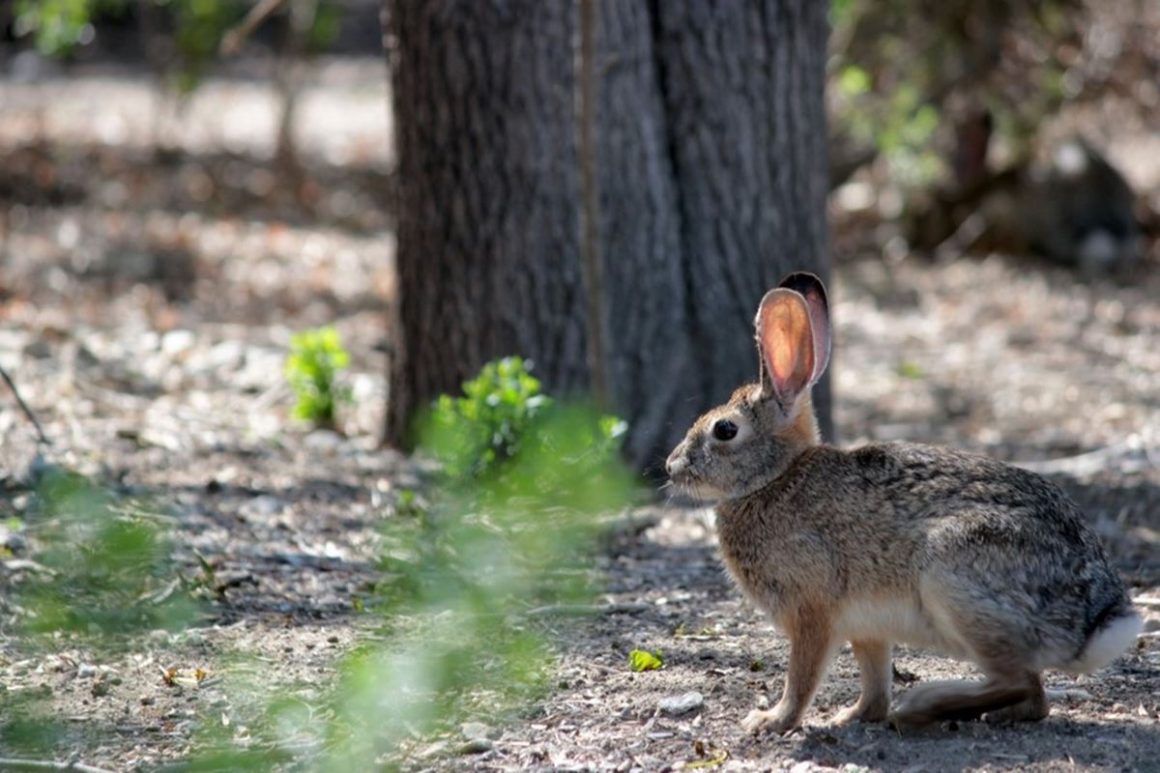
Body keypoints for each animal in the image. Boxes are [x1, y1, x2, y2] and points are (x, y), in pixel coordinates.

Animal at [668, 272, 1136, 733]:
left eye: (725, 430)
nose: (672, 467)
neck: (776, 478)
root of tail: (1093, 622)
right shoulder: (866, 628)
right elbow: (874, 680)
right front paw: (854, 715)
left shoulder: (812, 610)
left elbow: (802, 676)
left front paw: (771, 721)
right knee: (1034, 697)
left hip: (952, 579)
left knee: (1018, 680)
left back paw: (924, 705)